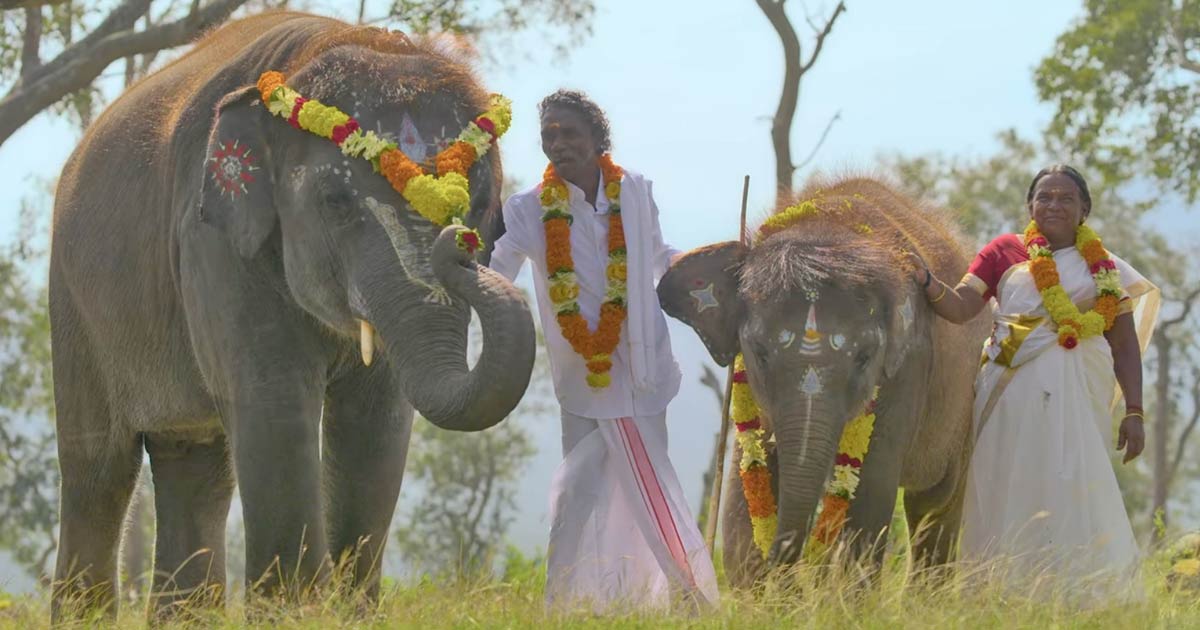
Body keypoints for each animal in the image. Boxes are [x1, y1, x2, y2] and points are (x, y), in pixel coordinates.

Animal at [48, 11, 535, 619]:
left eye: (483, 202)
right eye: (336, 202)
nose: (457, 240)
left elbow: (377, 417)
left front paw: (351, 616)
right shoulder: (213, 240)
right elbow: (274, 399)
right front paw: (295, 614)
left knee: (195, 463)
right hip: (74, 304)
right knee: (98, 471)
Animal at [662, 175, 988, 585]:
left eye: (864, 358)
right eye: (759, 352)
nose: (790, 570)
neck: (829, 224)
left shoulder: (910, 366)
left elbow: (871, 490)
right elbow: (744, 483)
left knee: (934, 505)